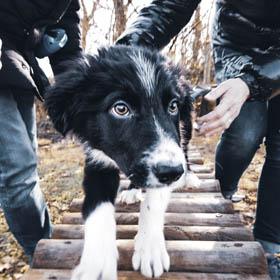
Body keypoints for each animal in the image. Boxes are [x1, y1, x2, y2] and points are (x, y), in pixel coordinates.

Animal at [44, 46, 192, 280]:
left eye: (173, 106)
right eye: (120, 109)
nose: (173, 173)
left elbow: (154, 201)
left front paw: (150, 247)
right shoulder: (97, 160)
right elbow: (97, 208)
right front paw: (96, 265)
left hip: (185, 128)